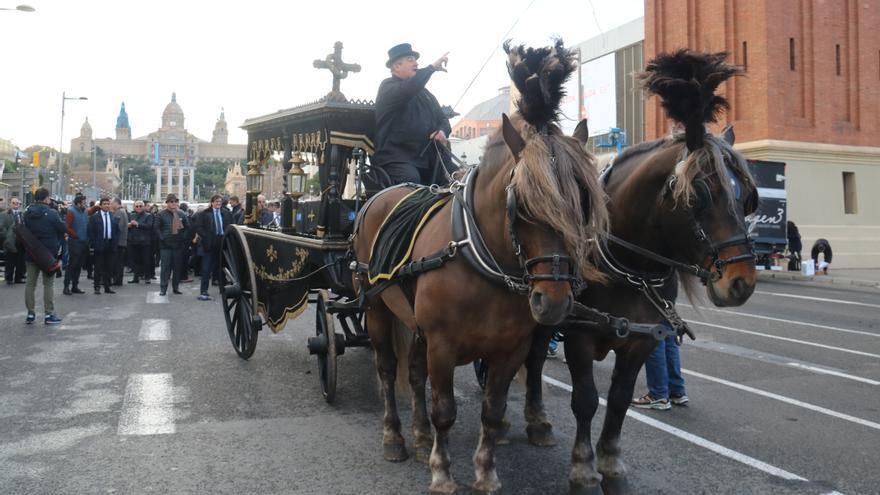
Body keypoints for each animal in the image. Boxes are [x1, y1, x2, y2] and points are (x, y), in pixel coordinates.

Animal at [350, 40, 604, 494]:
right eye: (522, 203)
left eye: (584, 201)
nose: (554, 301)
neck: (484, 262)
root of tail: (377, 197)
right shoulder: (443, 345)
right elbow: (445, 410)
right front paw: (442, 472)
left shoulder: (509, 349)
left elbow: (492, 409)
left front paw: (485, 472)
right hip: (377, 308)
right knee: (387, 369)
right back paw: (395, 437)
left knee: (413, 373)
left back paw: (418, 436)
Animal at [520, 50, 760, 495]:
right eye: (699, 195)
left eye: (745, 198)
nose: (741, 282)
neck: (629, 267)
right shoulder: (578, 335)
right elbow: (585, 399)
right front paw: (583, 469)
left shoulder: (642, 341)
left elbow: (618, 400)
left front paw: (611, 465)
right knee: (533, 359)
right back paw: (536, 418)